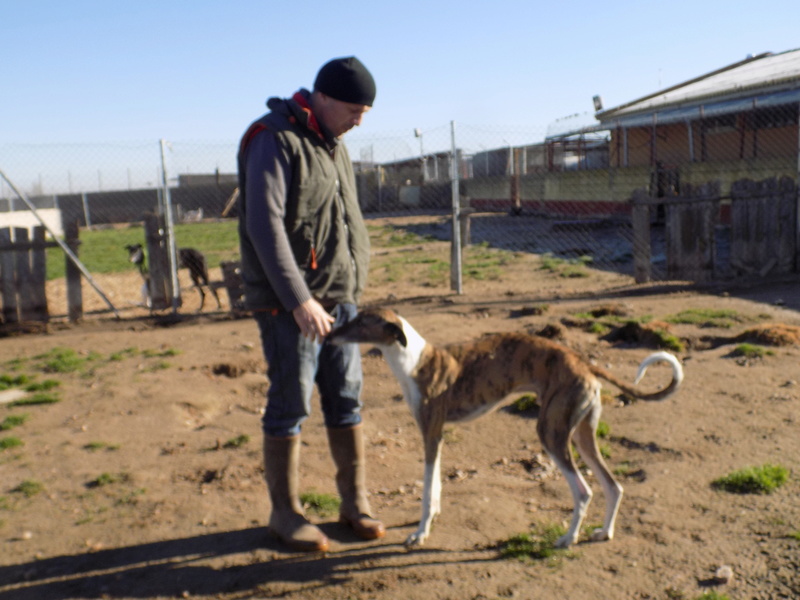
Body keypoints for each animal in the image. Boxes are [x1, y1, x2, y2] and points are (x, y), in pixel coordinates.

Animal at [328, 310, 684, 548]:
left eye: (362, 322)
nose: (329, 333)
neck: (414, 360)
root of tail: (582, 361)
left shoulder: (430, 432)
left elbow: (428, 490)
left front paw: (419, 533)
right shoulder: (438, 435)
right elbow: (437, 485)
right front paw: (432, 520)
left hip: (551, 433)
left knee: (584, 491)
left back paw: (568, 538)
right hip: (582, 435)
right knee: (614, 486)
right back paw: (604, 532)